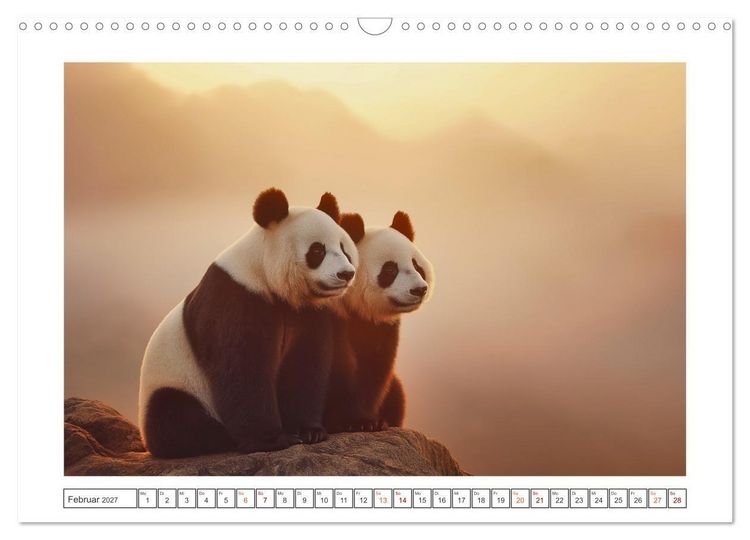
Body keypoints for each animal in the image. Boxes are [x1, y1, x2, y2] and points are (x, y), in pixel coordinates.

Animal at [138, 188, 359, 458]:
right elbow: (242, 368)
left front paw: (309, 431)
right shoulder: (236, 297)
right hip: (176, 382)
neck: (263, 275)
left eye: (344, 248)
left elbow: (305, 363)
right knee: (176, 417)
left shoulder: (306, 312)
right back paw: (218, 437)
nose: (346, 274)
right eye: (317, 251)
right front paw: (271, 440)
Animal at [324, 211, 435, 433]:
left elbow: (374, 371)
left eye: (417, 265)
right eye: (390, 270)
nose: (419, 290)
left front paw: (368, 421)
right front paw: (347, 422)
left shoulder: (381, 328)